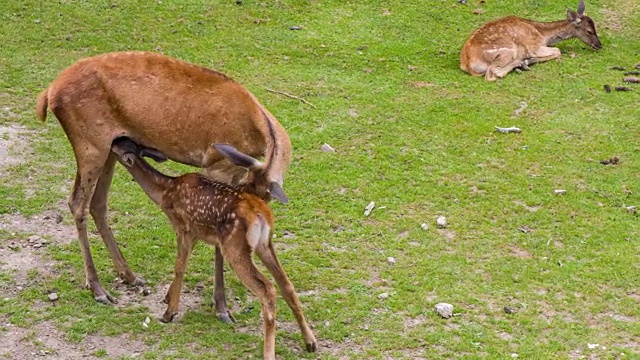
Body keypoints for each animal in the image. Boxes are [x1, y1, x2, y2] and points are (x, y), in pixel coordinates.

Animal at [36, 51, 292, 316]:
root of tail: (49, 92)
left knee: (98, 203)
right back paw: (98, 289)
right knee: (77, 203)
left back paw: (130, 276)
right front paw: (221, 307)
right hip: (90, 144)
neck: (258, 131)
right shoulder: (216, 165)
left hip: (108, 147)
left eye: (262, 198)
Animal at [111, 136, 318, 358]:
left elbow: (179, 267)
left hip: (235, 247)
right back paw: (310, 342)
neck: (166, 192)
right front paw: (167, 299)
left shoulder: (184, 228)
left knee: (267, 289)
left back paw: (269, 353)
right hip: (264, 244)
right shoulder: (196, 234)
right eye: (125, 141)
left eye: (119, 146)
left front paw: (169, 313)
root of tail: (261, 215)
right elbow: (181, 266)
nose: (113, 141)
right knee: (286, 284)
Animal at [460, 0, 600, 81]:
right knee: (492, 74)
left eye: (595, 27)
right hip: (507, 51)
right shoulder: (534, 46)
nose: (599, 45)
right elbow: (557, 50)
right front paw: (528, 60)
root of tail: (467, 64)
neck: (543, 35)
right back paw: (520, 63)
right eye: (589, 31)